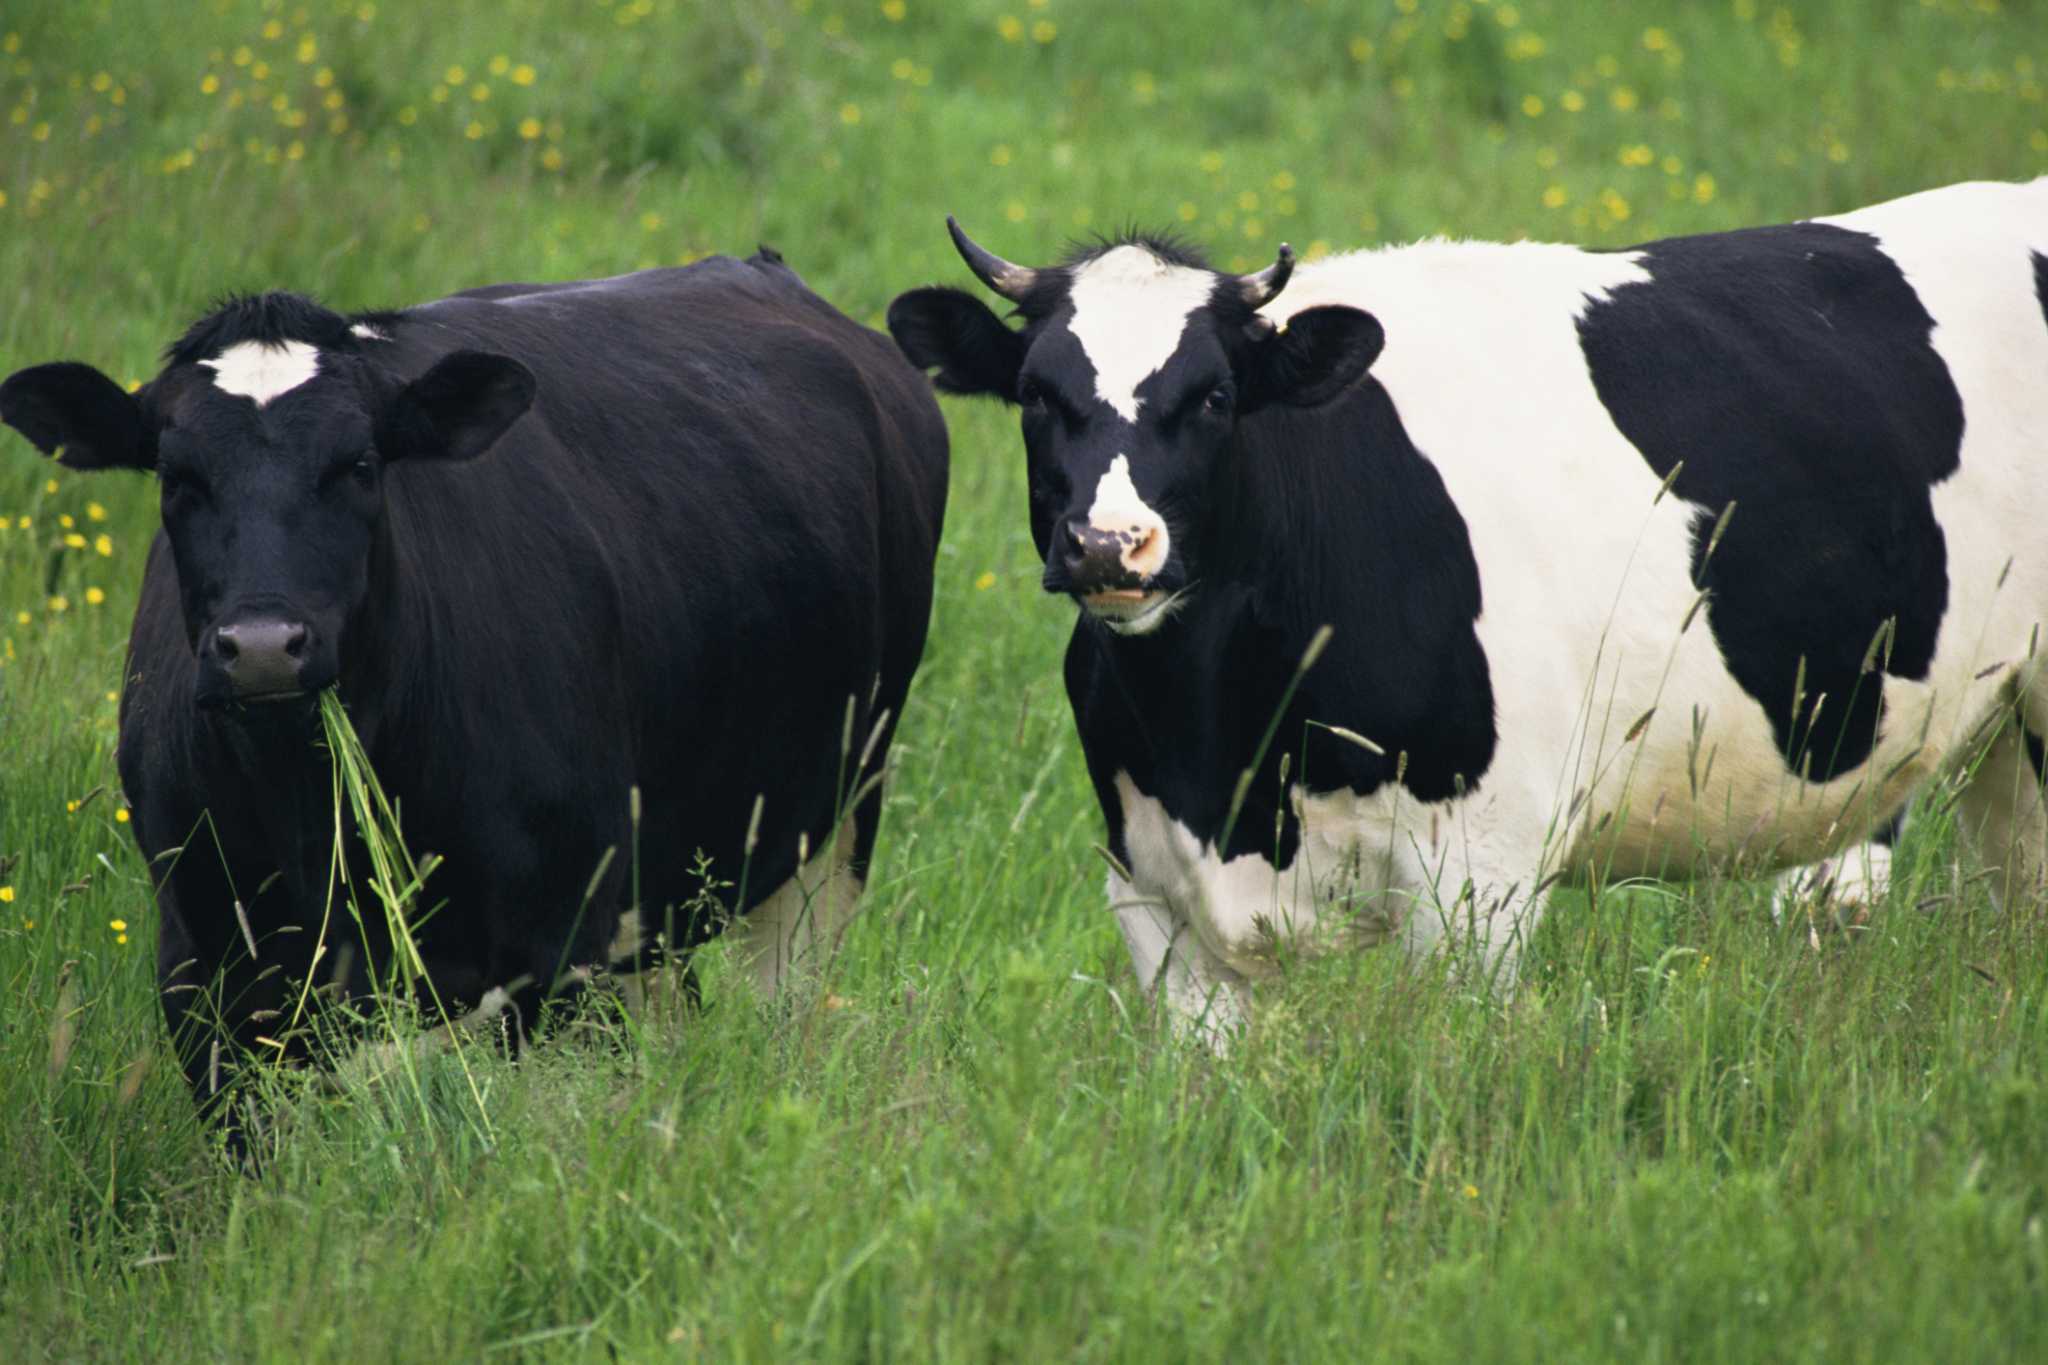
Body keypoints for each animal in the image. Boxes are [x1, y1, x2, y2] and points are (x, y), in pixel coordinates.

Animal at [2, 250, 949, 1127]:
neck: (311, 814)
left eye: (360, 463)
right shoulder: (203, 969)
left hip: (832, 816)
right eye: (176, 476)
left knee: (784, 998)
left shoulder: (560, 939)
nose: (264, 646)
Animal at [888, 177, 2048, 1043]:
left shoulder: (1480, 880)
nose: (1107, 545)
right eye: (1036, 396)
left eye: (1213, 395)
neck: (1223, 751)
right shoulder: (1153, 887)